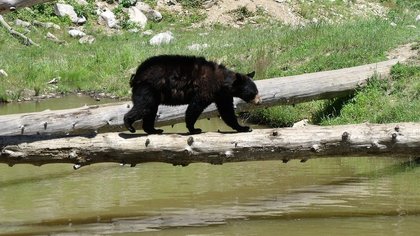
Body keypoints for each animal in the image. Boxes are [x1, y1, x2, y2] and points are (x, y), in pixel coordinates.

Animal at [122, 54, 260, 134]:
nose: (259, 101)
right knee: (145, 106)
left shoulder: (222, 95)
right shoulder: (206, 88)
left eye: (257, 91)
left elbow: (227, 112)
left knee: (150, 109)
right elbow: (195, 107)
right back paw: (129, 124)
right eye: (253, 92)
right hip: (148, 87)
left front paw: (243, 128)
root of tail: (136, 75)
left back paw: (153, 130)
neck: (222, 82)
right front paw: (194, 129)